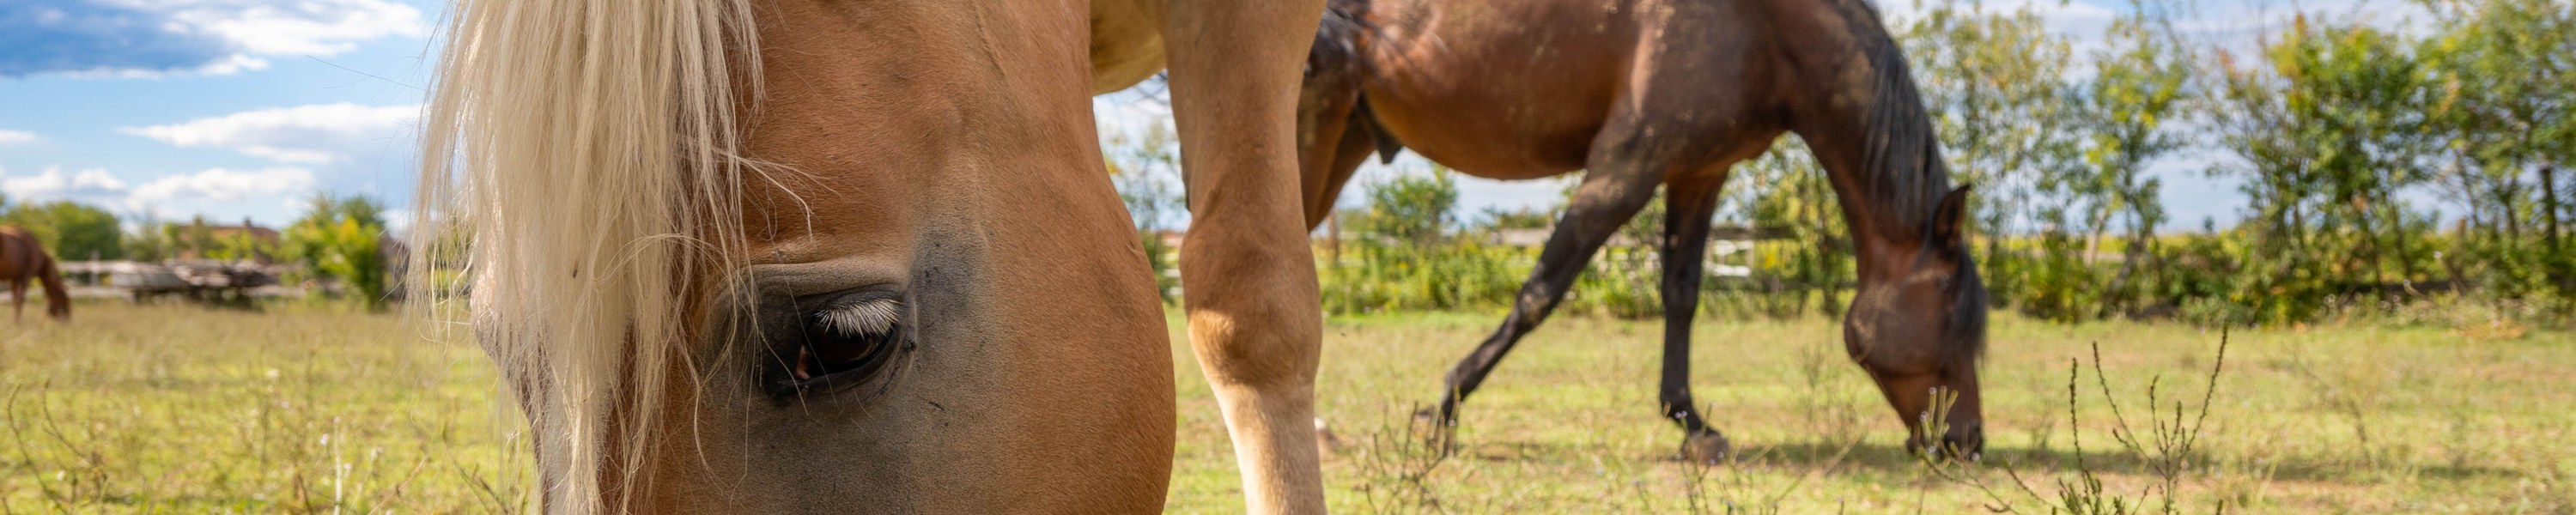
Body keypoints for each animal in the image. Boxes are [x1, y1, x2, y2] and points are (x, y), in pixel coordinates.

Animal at [1294, 0, 1990, 460]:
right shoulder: (1624, 169)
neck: (1763, 28)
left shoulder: (1697, 173)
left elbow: (1681, 295)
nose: (1968, 442)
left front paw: (1692, 424)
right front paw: (1441, 412)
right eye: (1954, 325)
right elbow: (1540, 293)